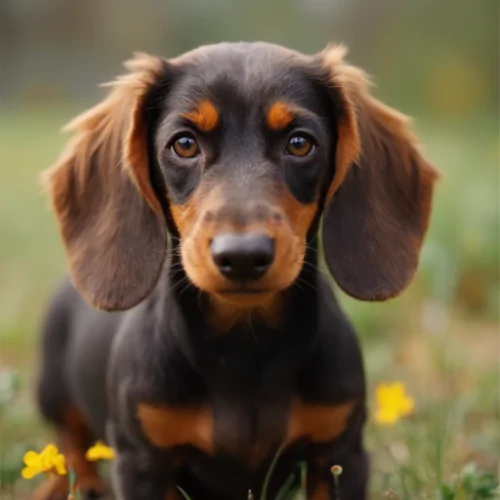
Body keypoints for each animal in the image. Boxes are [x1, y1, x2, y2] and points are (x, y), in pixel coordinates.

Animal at [35, 42, 438, 500]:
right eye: (184, 144)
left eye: (300, 143)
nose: (243, 256)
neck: (245, 348)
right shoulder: (142, 460)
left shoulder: (339, 453)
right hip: (52, 389)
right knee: (70, 442)